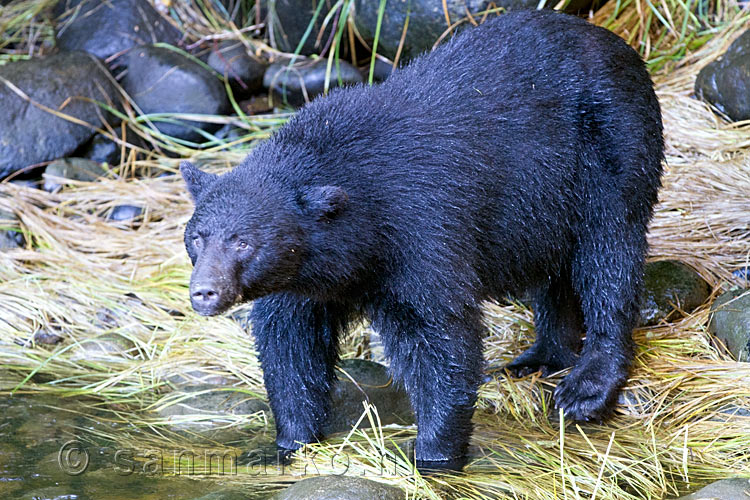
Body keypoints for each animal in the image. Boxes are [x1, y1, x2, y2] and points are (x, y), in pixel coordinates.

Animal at [181, 8, 664, 468]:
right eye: (198, 238)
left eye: (244, 241)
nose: (205, 292)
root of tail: (615, 43)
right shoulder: (303, 278)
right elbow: (289, 344)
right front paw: (289, 443)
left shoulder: (419, 227)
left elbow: (439, 337)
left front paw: (435, 454)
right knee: (554, 271)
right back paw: (541, 355)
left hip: (610, 146)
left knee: (609, 254)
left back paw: (587, 387)